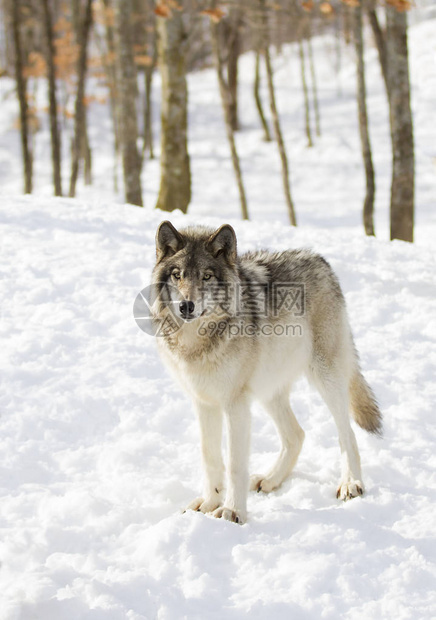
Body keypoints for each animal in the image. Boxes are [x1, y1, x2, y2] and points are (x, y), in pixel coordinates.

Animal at [151, 222, 382, 524]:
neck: (198, 342)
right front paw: (209, 503)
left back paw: (351, 483)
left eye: (207, 276)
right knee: (297, 435)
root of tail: (319, 259)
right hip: (268, 391)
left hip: (326, 378)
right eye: (177, 275)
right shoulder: (204, 402)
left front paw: (232, 512)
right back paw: (271, 480)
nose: (186, 306)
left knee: (347, 434)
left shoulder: (235, 406)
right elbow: (209, 456)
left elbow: (235, 464)